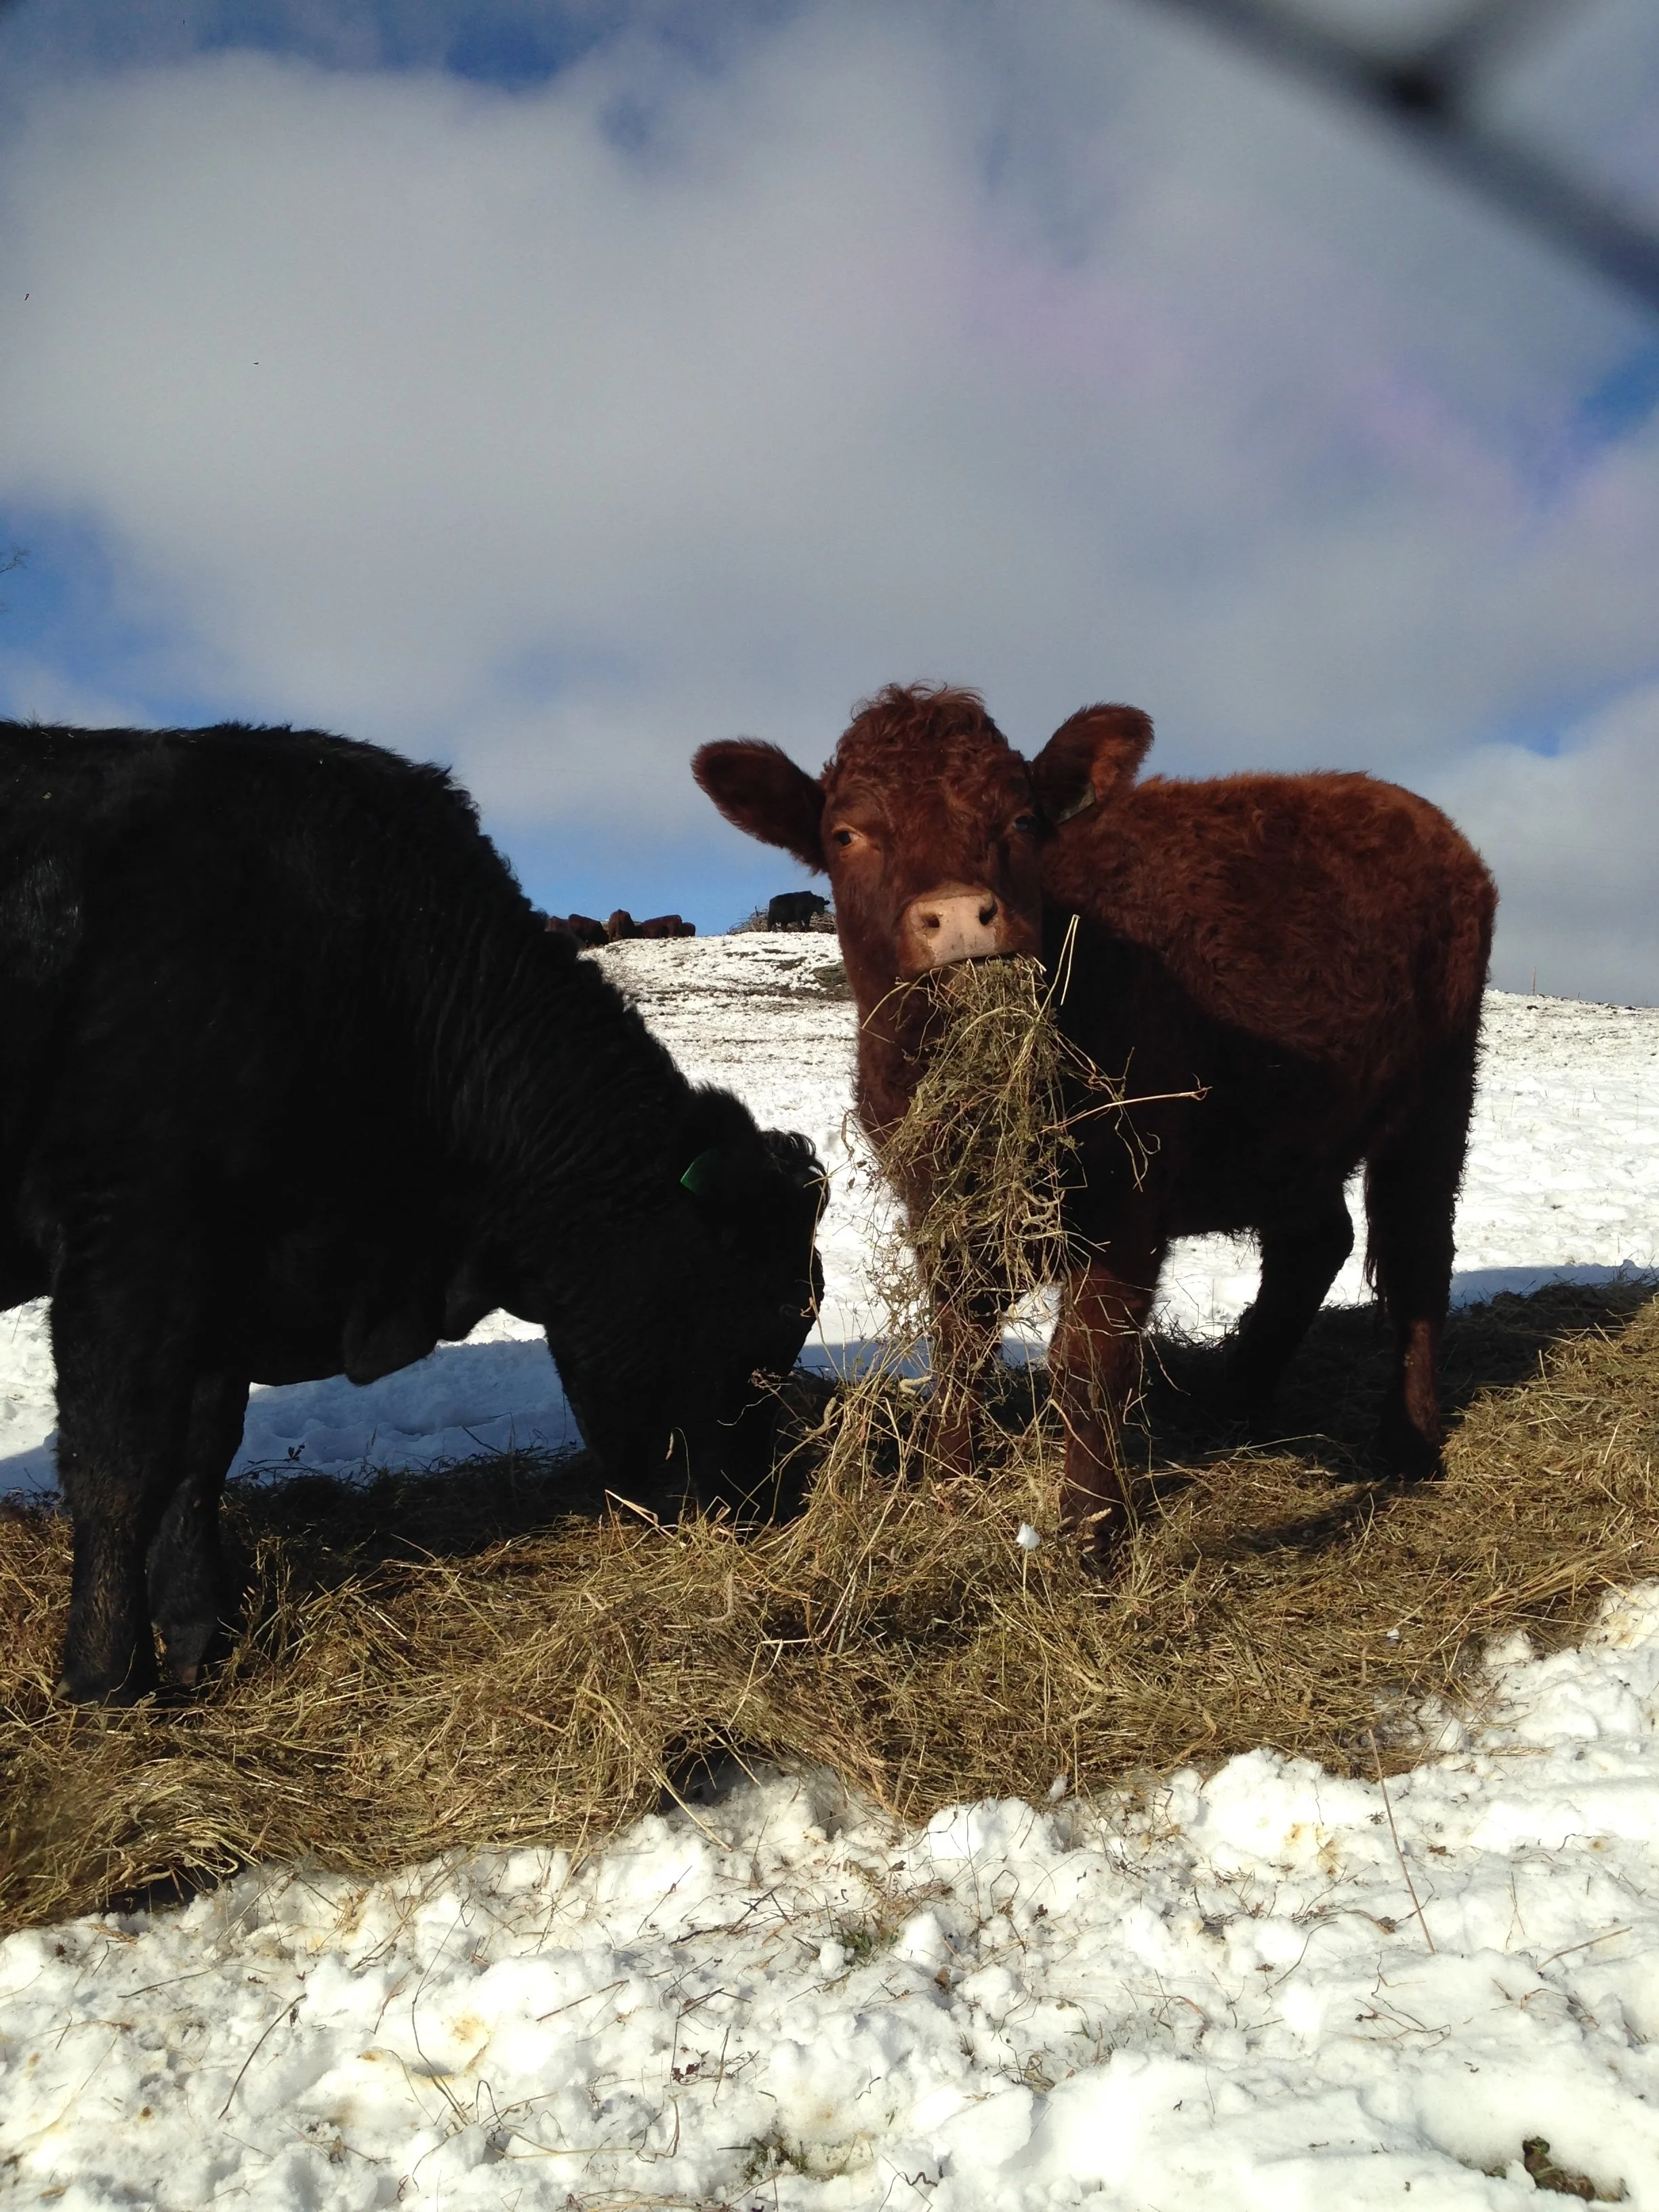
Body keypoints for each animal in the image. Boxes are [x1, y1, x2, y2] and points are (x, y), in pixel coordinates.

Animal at [0, 719, 826, 1703]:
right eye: (765, 1317)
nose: (755, 1512)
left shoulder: (223, 1283)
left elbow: (197, 1462)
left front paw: (206, 1640)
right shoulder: (131, 1245)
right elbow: (119, 1464)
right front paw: (106, 1679)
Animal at [695, 683, 1495, 1554]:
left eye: (1020, 820)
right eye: (848, 834)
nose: (962, 918)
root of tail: (1403, 806)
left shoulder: (1124, 1201)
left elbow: (1088, 1363)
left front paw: (1086, 1529)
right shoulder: (940, 1203)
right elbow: (960, 1345)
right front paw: (948, 1486)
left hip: (1438, 1095)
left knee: (1418, 1255)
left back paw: (1409, 1443)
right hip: (1286, 1132)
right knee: (1316, 1241)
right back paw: (1238, 1397)